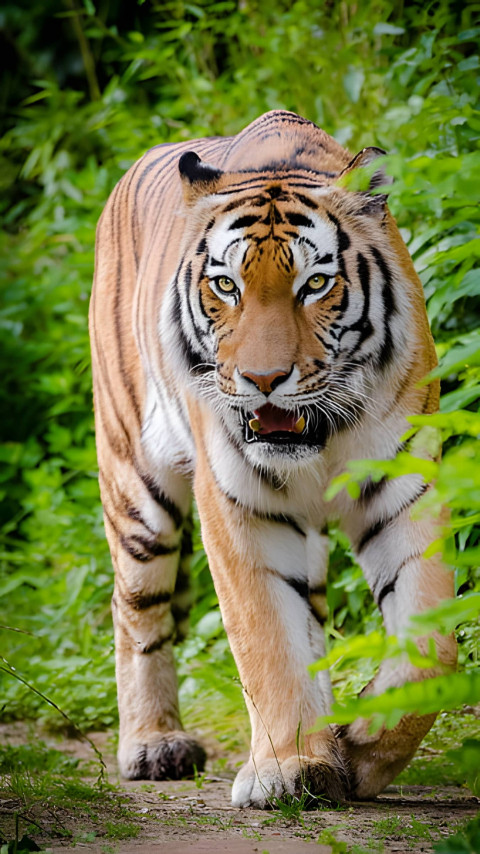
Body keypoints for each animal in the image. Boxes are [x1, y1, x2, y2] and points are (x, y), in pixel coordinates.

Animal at [89, 110, 457, 807]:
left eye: (315, 283)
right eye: (225, 285)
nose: (262, 380)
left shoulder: (404, 487)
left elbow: (431, 645)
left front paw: (358, 750)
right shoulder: (240, 504)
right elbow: (266, 638)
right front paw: (289, 768)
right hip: (136, 484)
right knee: (137, 610)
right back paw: (154, 746)